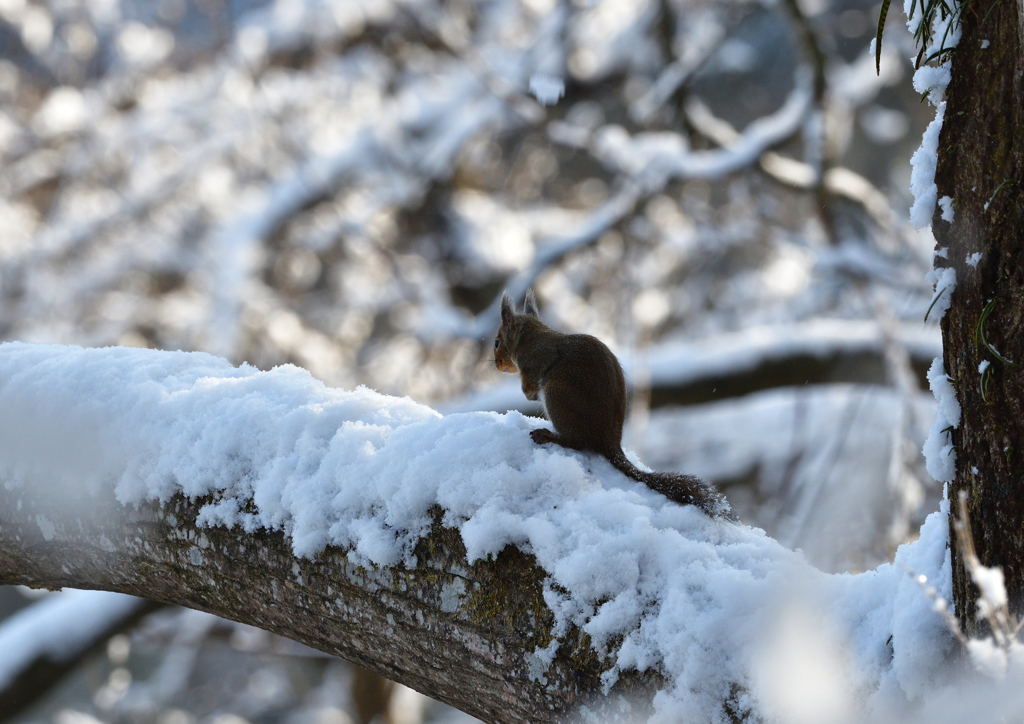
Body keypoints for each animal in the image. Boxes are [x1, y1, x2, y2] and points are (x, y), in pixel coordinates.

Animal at [493, 288, 737, 520]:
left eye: (496, 343)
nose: (497, 365)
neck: (532, 335)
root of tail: (609, 440)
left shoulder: (536, 361)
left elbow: (531, 382)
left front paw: (529, 393)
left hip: (557, 396)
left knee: (577, 442)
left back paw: (548, 436)